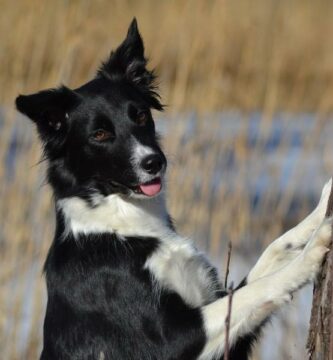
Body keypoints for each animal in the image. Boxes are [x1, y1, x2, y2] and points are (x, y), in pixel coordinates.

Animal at [16, 19, 332, 360]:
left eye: (141, 115)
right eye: (99, 134)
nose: (154, 162)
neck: (124, 224)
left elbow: (272, 252)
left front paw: (321, 209)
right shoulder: (169, 343)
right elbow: (261, 288)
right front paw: (313, 252)